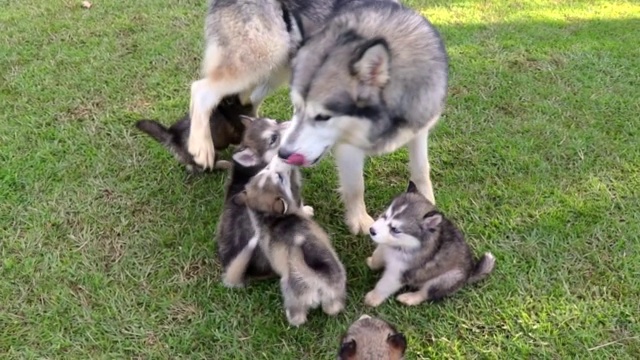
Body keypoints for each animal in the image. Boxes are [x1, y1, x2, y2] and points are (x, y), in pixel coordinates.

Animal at [234, 158, 348, 326]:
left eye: (278, 176)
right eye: (267, 170)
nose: (278, 158)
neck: (270, 217)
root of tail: (313, 278)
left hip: (293, 297)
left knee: (298, 317)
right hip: (334, 287)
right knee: (332, 308)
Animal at [280, 0, 450, 236]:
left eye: (323, 116)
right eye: (297, 107)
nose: (283, 153)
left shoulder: (418, 127)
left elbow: (421, 168)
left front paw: (426, 202)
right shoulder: (348, 145)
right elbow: (355, 186)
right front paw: (359, 219)